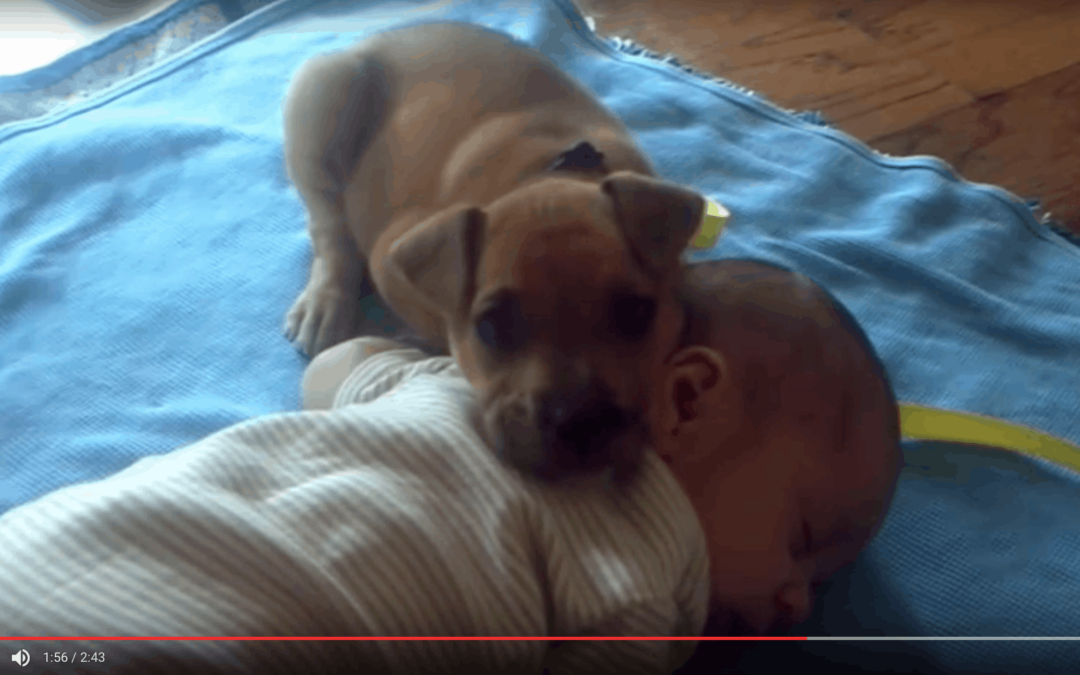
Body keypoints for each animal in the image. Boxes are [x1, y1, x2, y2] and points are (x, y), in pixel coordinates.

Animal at [278, 23, 704, 479]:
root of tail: (380, 35)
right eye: (492, 328)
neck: (545, 176)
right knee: (328, 225)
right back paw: (325, 301)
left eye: (636, 313)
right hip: (319, 100)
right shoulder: (389, 256)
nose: (578, 420)